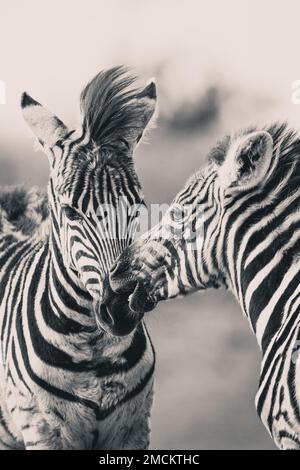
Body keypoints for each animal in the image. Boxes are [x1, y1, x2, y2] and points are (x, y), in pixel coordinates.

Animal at [0, 65, 158, 448]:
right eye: (71, 212)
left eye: (138, 206)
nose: (123, 305)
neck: (94, 346)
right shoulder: (43, 427)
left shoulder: (133, 427)